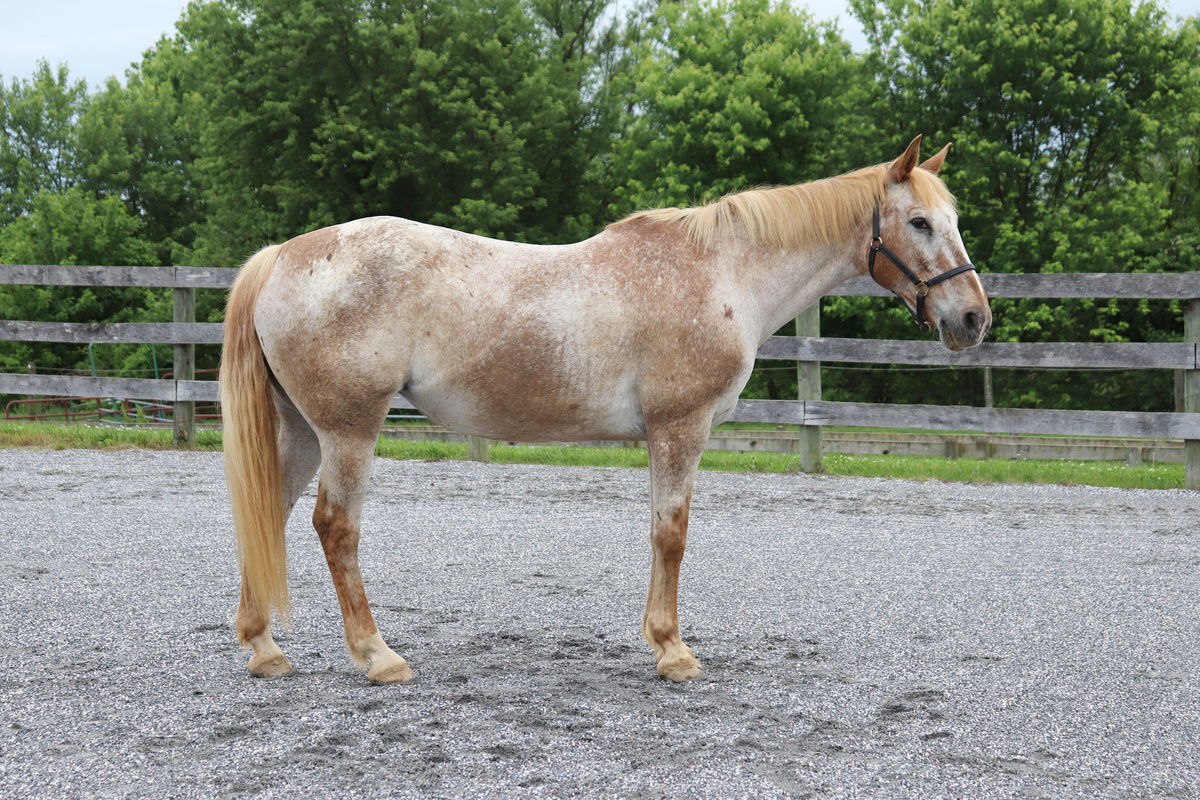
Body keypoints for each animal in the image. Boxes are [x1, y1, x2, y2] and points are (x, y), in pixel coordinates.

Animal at [220, 135, 991, 683]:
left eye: (953, 220)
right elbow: (671, 534)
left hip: (304, 432)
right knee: (334, 528)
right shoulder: (680, 430)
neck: (721, 274)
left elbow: (659, 533)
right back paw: (377, 656)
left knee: (269, 513)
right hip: (349, 430)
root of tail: (282, 256)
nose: (974, 319)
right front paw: (672, 651)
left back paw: (264, 648)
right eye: (919, 222)